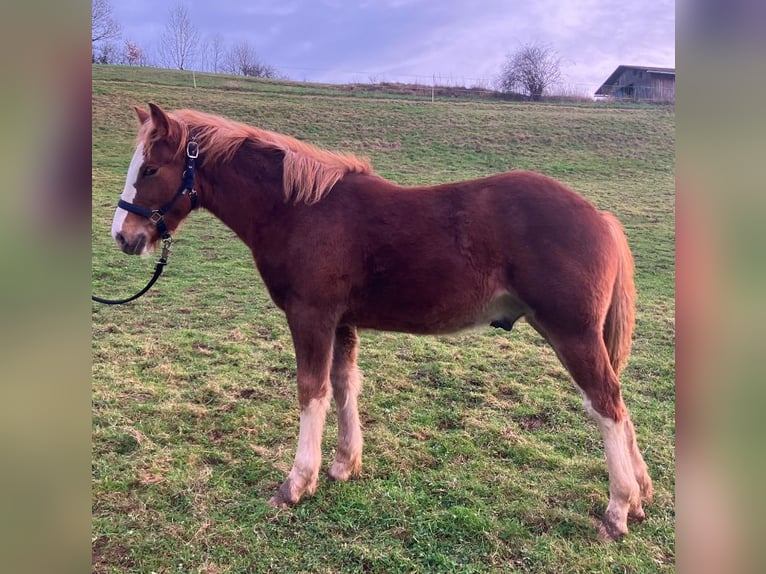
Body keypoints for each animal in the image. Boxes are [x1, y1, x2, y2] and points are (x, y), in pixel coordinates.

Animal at [109, 106, 656, 544]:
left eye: (151, 168)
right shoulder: (341, 322)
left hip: (573, 335)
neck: (300, 210)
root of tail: (600, 217)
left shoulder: (310, 316)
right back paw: (640, 495)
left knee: (607, 405)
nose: (123, 236)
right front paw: (343, 465)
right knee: (618, 402)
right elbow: (344, 384)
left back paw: (616, 511)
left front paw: (295, 484)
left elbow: (311, 391)